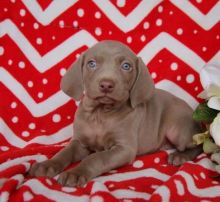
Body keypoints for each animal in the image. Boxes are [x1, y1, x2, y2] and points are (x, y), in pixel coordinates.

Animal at [29, 40, 203, 187]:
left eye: (126, 66)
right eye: (91, 63)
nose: (106, 84)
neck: (100, 114)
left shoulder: (124, 149)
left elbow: (96, 157)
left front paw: (76, 172)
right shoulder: (79, 142)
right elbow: (65, 152)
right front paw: (47, 165)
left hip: (177, 130)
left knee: (198, 145)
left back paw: (180, 156)